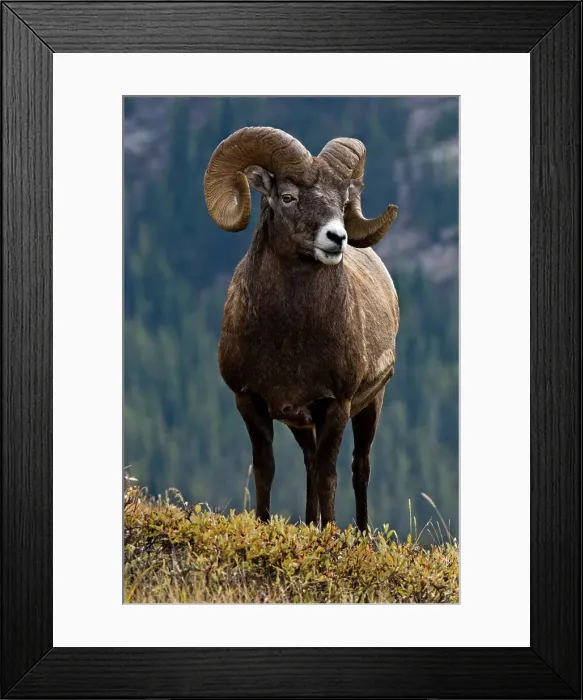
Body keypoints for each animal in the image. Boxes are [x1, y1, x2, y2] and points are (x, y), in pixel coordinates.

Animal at [204, 127, 399, 531]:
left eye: (342, 200)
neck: (289, 339)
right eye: (288, 197)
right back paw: (311, 524)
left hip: (371, 404)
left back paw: (361, 534)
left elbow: (329, 475)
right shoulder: (251, 403)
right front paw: (265, 527)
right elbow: (266, 470)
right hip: (302, 424)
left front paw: (332, 535)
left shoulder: (336, 406)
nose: (337, 238)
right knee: (309, 463)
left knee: (360, 467)